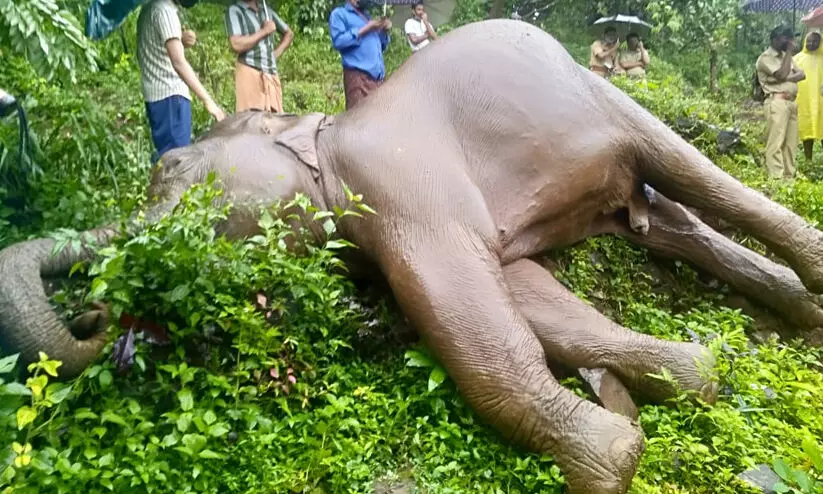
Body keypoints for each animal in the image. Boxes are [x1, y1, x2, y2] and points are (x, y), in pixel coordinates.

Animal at [3, 19, 823, 493]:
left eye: (168, 173)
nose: (95, 315)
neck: (325, 134)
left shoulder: (399, 185)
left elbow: (469, 317)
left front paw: (610, 457)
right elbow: (523, 294)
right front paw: (688, 380)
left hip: (600, 97)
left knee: (690, 171)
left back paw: (810, 286)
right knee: (669, 222)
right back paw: (793, 306)